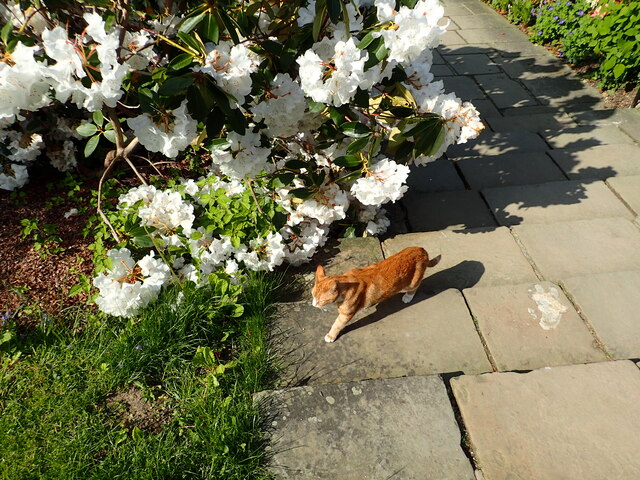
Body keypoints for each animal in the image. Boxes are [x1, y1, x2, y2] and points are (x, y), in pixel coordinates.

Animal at [312, 248, 442, 342]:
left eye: (320, 300)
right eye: (312, 296)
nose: (313, 305)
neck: (347, 282)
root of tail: (422, 250)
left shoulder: (346, 315)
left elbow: (337, 325)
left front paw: (330, 336)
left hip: (412, 283)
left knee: (416, 286)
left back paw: (408, 297)